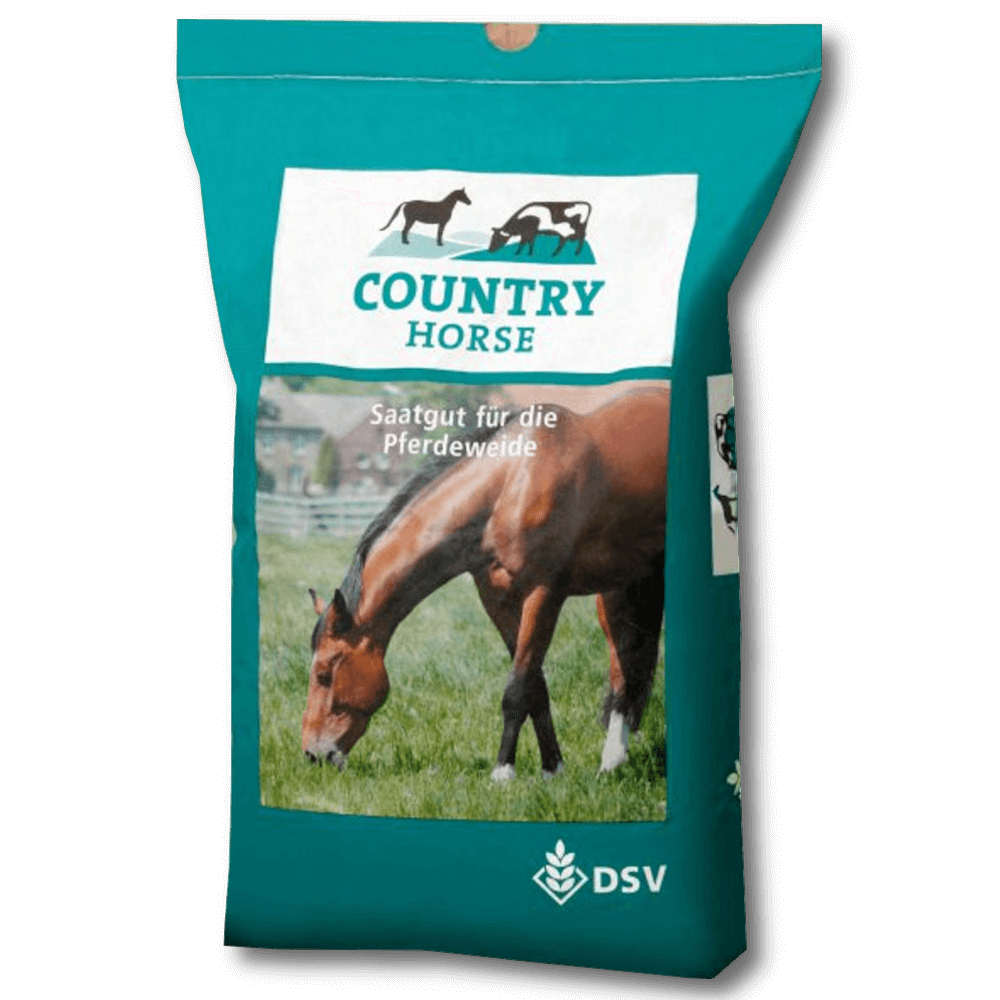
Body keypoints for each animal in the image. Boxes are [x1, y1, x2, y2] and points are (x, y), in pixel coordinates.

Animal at [302, 387, 669, 780]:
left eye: (324, 674)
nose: (312, 754)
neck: (510, 485)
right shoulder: (498, 600)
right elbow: (535, 686)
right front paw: (553, 769)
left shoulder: (544, 593)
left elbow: (518, 687)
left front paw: (503, 772)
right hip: (622, 588)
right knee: (626, 664)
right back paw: (612, 762)